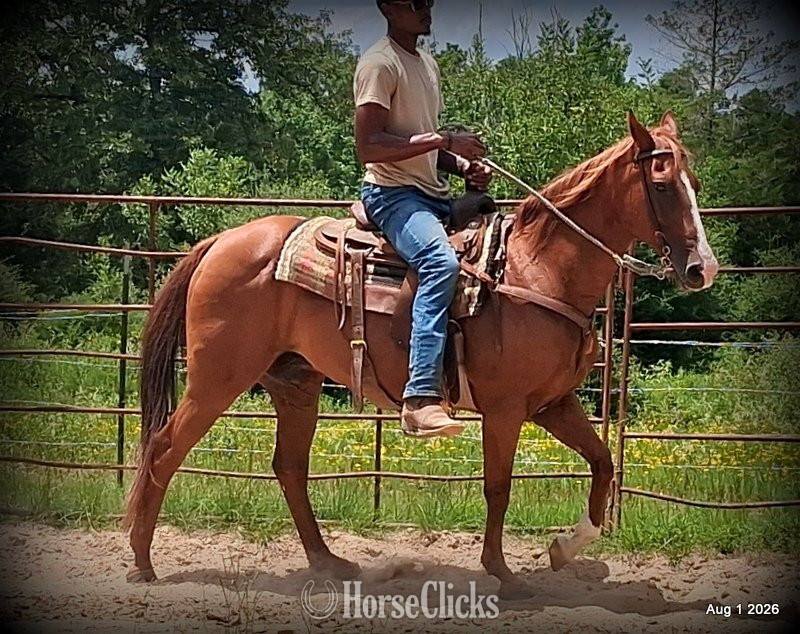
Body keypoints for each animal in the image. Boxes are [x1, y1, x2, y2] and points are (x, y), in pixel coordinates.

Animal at [123, 111, 718, 600]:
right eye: (662, 184)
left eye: (695, 183)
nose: (703, 269)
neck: (536, 269)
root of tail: (219, 243)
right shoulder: (505, 409)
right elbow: (498, 487)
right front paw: (503, 574)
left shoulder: (553, 403)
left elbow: (602, 464)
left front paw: (563, 549)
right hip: (217, 380)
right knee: (164, 449)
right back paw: (142, 562)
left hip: (295, 384)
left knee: (289, 468)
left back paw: (329, 563)